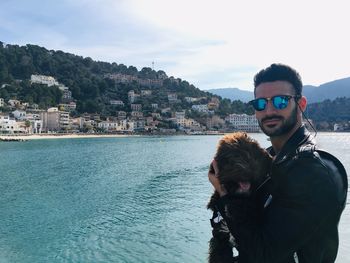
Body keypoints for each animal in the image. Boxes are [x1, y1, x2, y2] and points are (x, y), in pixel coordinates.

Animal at [206, 133, 272, 262]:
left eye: (253, 156)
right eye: (232, 158)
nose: (247, 171)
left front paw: (235, 209)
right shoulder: (219, 229)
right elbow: (219, 246)